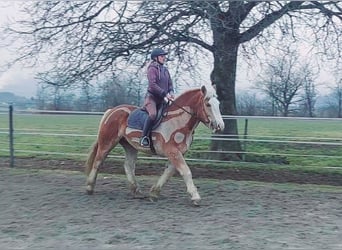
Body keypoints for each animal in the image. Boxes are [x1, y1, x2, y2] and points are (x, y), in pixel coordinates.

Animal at [84, 84, 224, 205]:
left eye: (218, 104)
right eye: (208, 104)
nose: (220, 126)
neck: (178, 121)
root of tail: (111, 111)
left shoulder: (178, 153)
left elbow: (168, 173)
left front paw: (154, 193)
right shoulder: (173, 151)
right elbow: (186, 171)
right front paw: (195, 196)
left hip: (130, 146)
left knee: (128, 165)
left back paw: (136, 191)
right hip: (107, 142)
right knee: (98, 161)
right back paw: (89, 187)